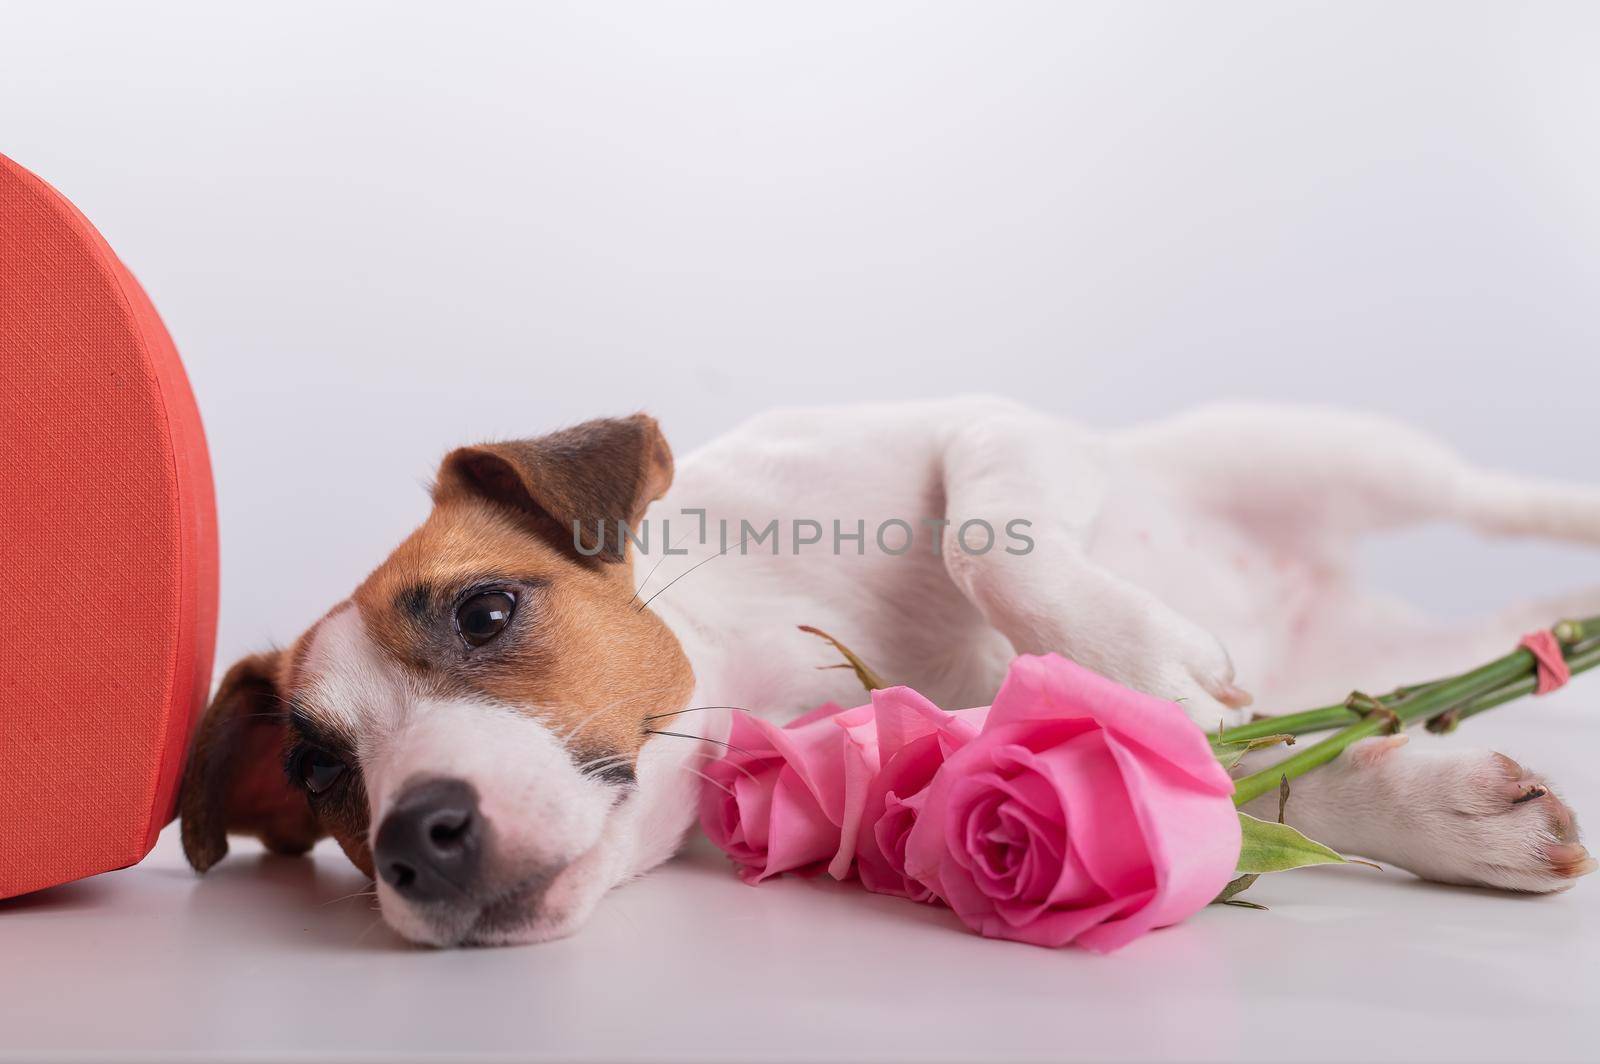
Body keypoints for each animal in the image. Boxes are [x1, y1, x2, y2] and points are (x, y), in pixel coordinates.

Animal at [178, 400, 1600, 947]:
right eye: (316, 765)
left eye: (485, 608)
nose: (414, 836)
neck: (761, 653)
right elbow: (1262, 776)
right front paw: (1438, 805)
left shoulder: (977, 429)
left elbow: (986, 529)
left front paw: (1148, 650)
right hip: (1387, 637)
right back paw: (1546, 629)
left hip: (1336, 451)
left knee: (1497, 497)